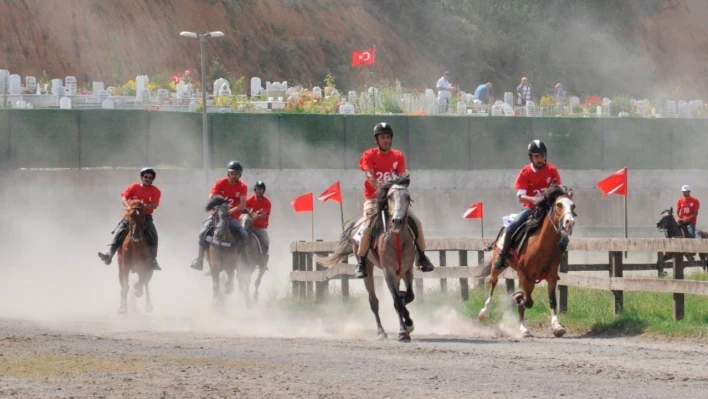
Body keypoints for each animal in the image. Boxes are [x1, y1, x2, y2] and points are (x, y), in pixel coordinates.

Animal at [318, 176, 418, 344]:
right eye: (390, 197)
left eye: (408, 197)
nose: (397, 221)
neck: (397, 238)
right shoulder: (388, 271)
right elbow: (397, 302)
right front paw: (403, 332)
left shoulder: (407, 270)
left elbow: (408, 296)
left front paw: (409, 323)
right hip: (368, 270)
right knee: (373, 301)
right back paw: (381, 333)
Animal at [476, 186, 576, 340]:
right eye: (559, 205)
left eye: (573, 206)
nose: (569, 222)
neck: (541, 246)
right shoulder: (524, 275)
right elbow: (527, 302)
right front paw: (520, 308)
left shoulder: (551, 276)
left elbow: (552, 300)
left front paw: (557, 326)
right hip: (497, 266)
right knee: (493, 282)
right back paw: (485, 313)